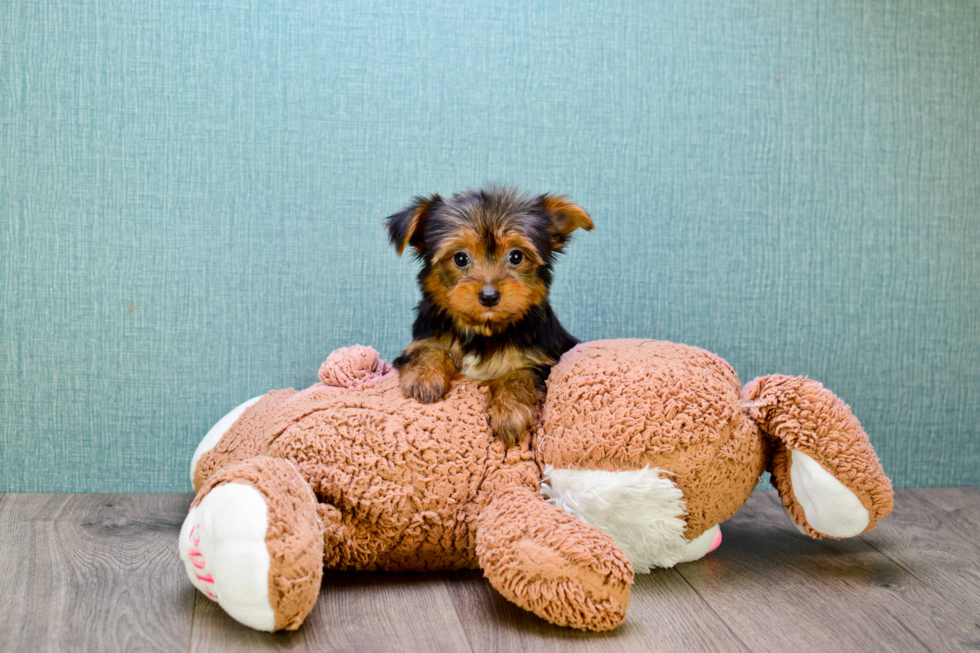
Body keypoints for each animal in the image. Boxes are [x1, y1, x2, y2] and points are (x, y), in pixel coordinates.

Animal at [386, 186, 592, 446]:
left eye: (516, 256)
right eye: (460, 258)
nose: (489, 296)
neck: (484, 330)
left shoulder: (543, 359)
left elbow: (520, 374)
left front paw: (510, 412)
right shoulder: (423, 337)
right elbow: (427, 348)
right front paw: (424, 377)